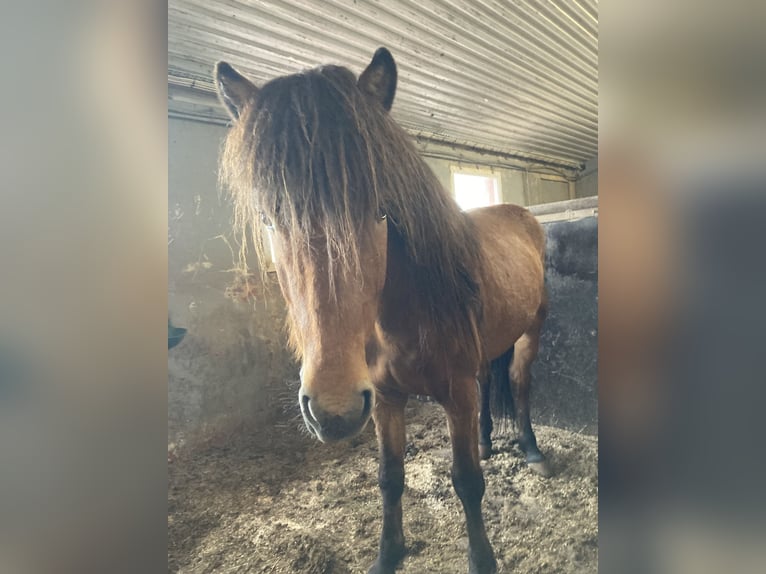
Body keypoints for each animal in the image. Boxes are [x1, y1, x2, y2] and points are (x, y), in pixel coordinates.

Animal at [215, 47, 549, 574]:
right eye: (269, 218)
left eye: (379, 210)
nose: (332, 410)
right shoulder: (385, 400)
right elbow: (390, 478)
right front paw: (388, 554)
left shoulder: (455, 395)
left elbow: (467, 481)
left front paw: (481, 558)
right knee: (490, 381)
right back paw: (488, 441)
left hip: (531, 331)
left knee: (518, 383)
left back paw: (531, 448)